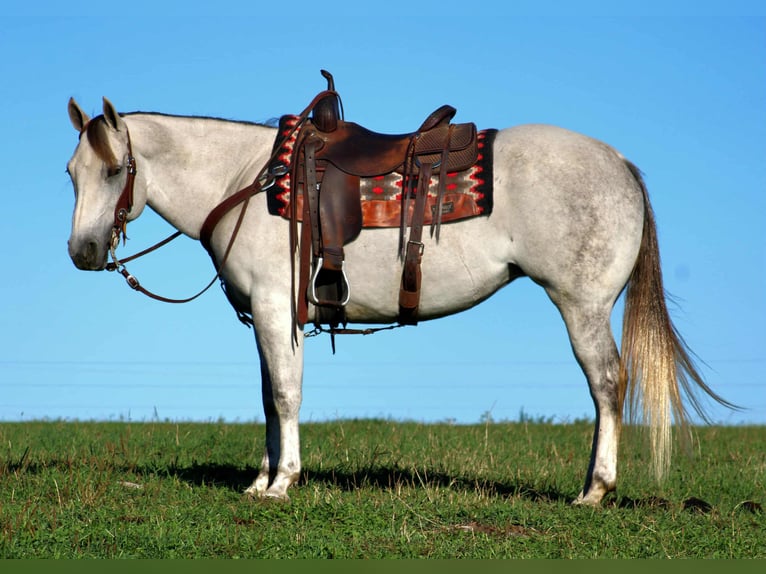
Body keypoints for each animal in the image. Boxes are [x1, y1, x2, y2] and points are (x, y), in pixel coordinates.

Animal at [65, 91, 732, 506]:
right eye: (72, 173)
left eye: (115, 170)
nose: (83, 250)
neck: (247, 184)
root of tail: (619, 162)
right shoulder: (269, 318)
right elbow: (267, 399)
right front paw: (259, 481)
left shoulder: (277, 309)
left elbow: (285, 395)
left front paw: (283, 483)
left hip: (582, 305)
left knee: (606, 384)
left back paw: (595, 489)